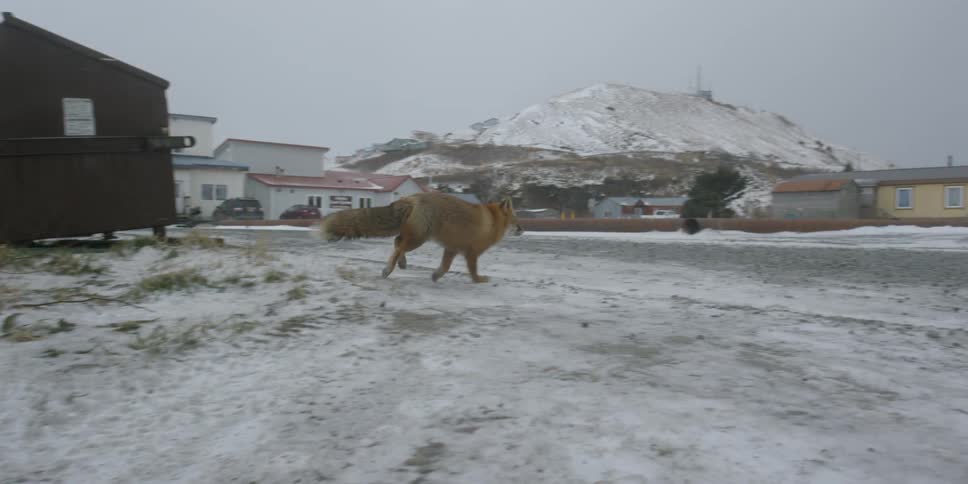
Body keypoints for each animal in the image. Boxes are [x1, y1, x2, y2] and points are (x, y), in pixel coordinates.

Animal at [321, 192, 523, 283]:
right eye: (516, 219)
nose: (522, 229)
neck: (492, 221)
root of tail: (412, 197)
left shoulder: (452, 248)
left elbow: (445, 267)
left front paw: (435, 276)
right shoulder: (471, 252)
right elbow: (473, 271)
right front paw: (479, 280)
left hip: (416, 237)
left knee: (397, 242)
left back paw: (401, 264)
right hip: (419, 239)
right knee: (399, 246)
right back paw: (389, 269)